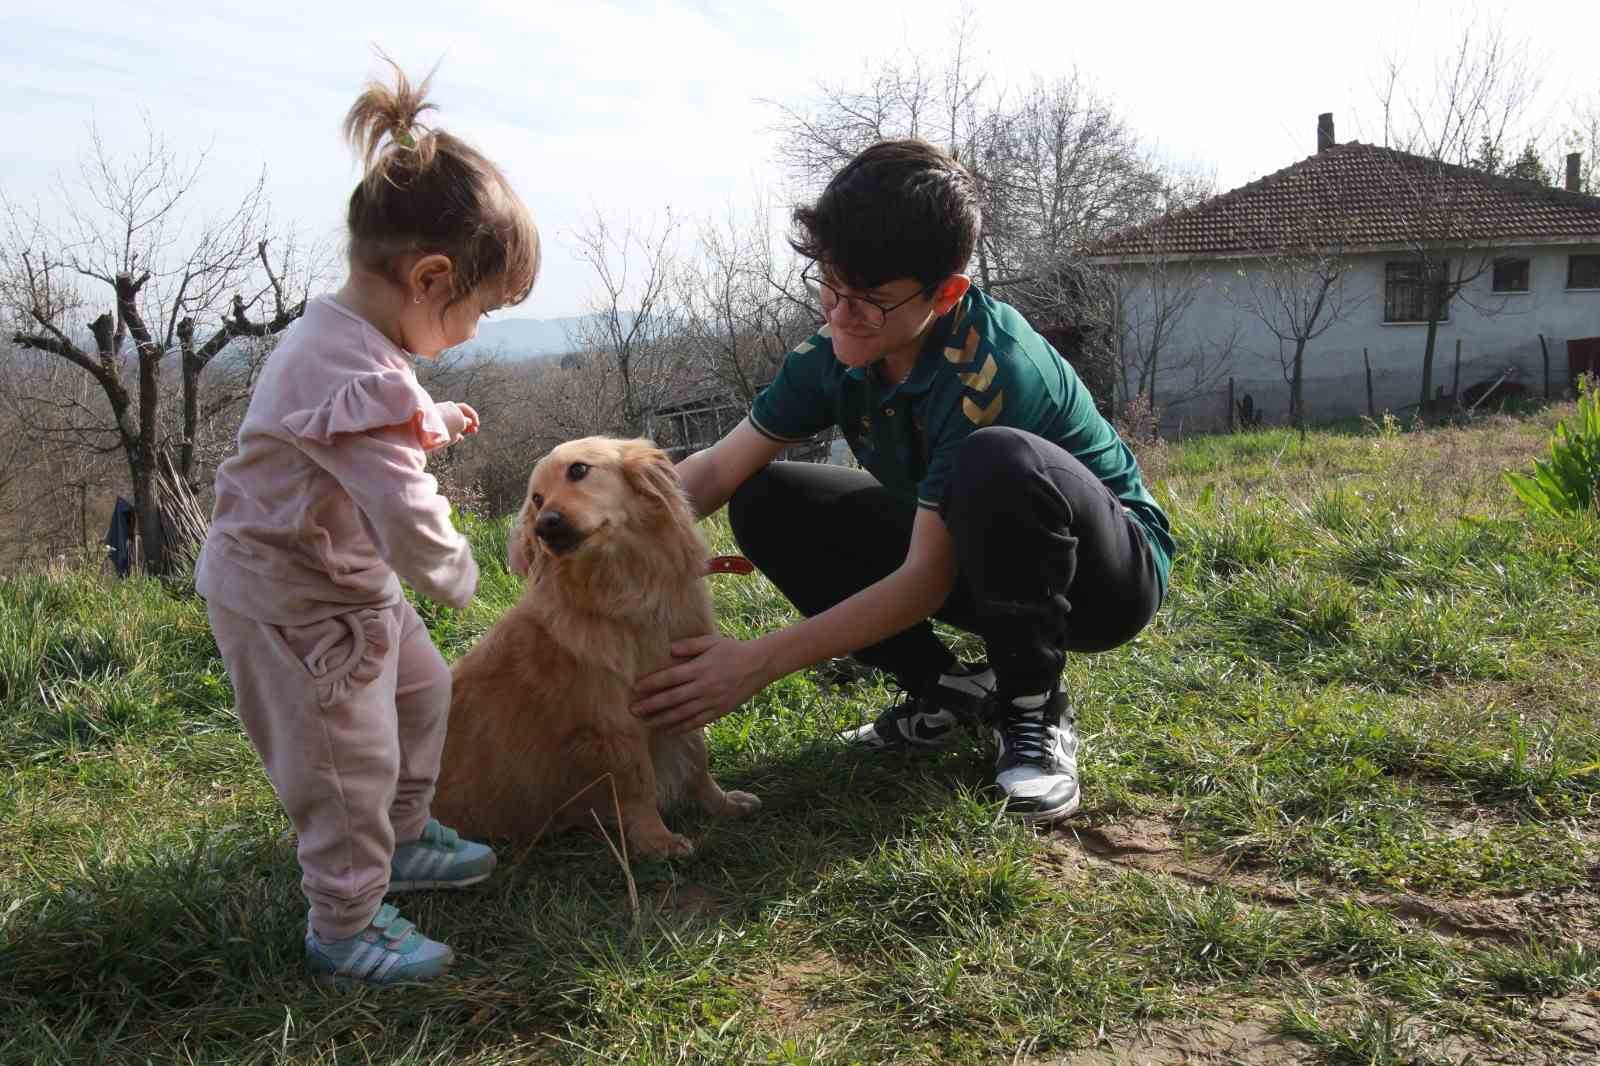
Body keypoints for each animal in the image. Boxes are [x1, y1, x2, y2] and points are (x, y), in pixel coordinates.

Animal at [435, 432, 758, 857]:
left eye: (578, 470)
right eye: (536, 498)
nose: (545, 525)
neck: (627, 593)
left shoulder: (684, 687)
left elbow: (697, 759)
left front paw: (720, 804)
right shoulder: (615, 725)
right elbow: (640, 784)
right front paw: (656, 841)